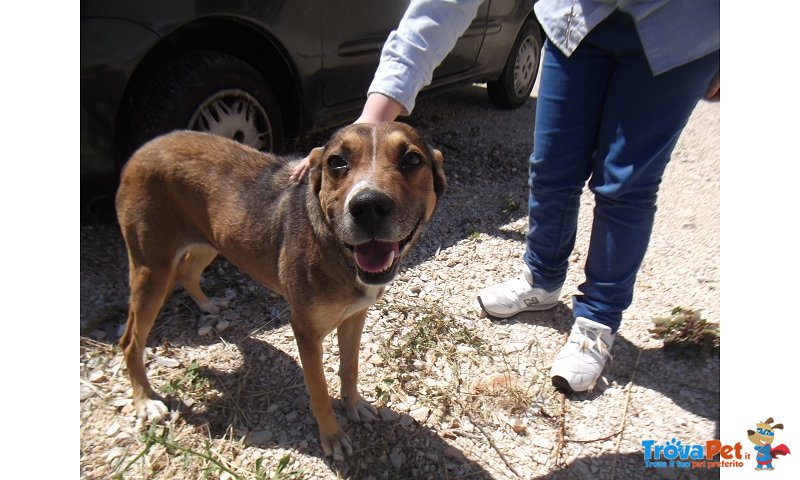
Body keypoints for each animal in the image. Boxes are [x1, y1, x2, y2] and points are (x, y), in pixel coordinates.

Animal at [115, 123, 446, 462]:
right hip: (151, 271)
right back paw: (146, 401)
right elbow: (319, 389)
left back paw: (209, 305)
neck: (334, 246)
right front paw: (332, 435)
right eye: (336, 162)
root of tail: (144, 149)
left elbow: (349, 368)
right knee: (130, 341)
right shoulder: (305, 331)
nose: (367, 205)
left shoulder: (355, 317)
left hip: (210, 241)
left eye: (411, 160)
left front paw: (353, 405)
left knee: (187, 273)